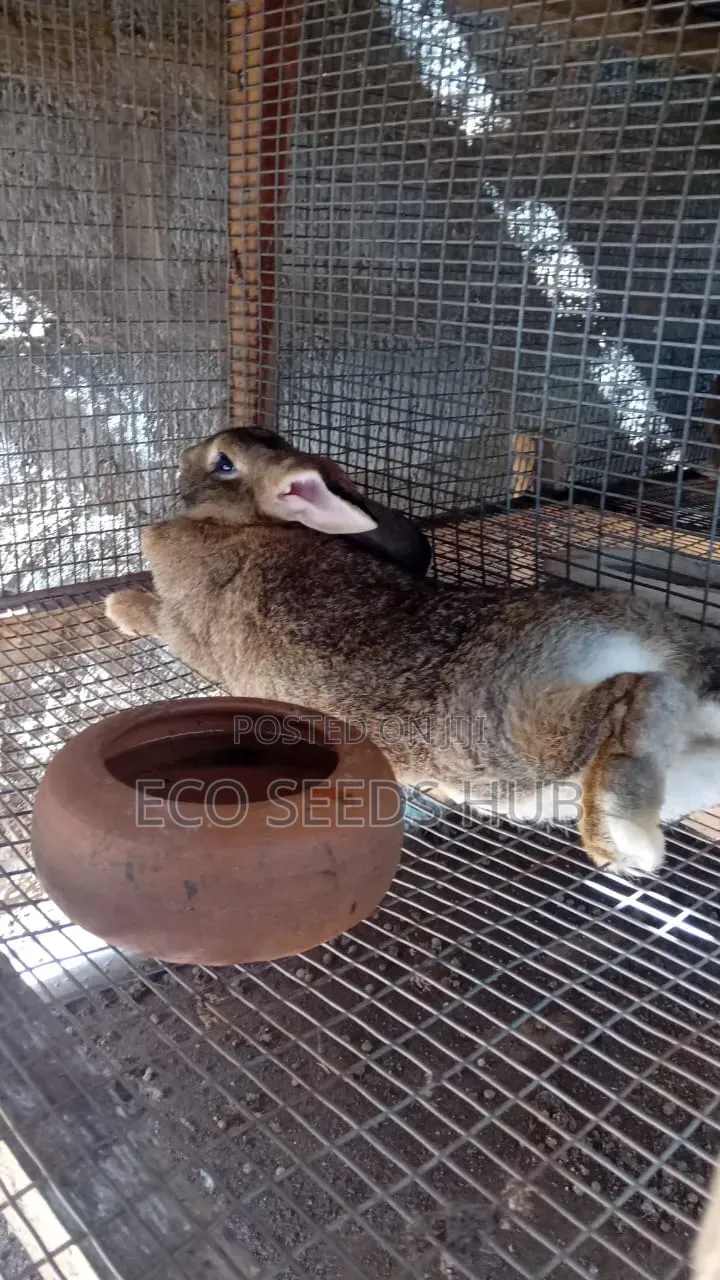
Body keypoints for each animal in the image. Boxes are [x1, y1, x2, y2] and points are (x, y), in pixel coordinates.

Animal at [105, 426, 720, 879]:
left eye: (224, 463)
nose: (182, 454)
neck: (246, 524)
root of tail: (662, 643)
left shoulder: (187, 627)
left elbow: (159, 619)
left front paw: (119, 607)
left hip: (508, 737)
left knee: (635, 693)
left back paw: (619, 840)